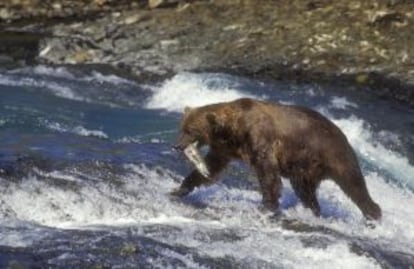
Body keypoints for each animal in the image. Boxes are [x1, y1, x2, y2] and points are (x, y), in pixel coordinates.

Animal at [171, 97, 382, 219]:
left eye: (190, 130)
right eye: (181, 128)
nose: (177, 146)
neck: (232, 129)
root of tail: (344, 134)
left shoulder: (260, 138)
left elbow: (268, 173)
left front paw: (267, 206)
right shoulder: (225, 149)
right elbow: (211, 167)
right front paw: (179, 189)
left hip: (334, 155)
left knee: (353, 184)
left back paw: (373, 215)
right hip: (305, 169)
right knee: (305, 191)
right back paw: (313, 211)